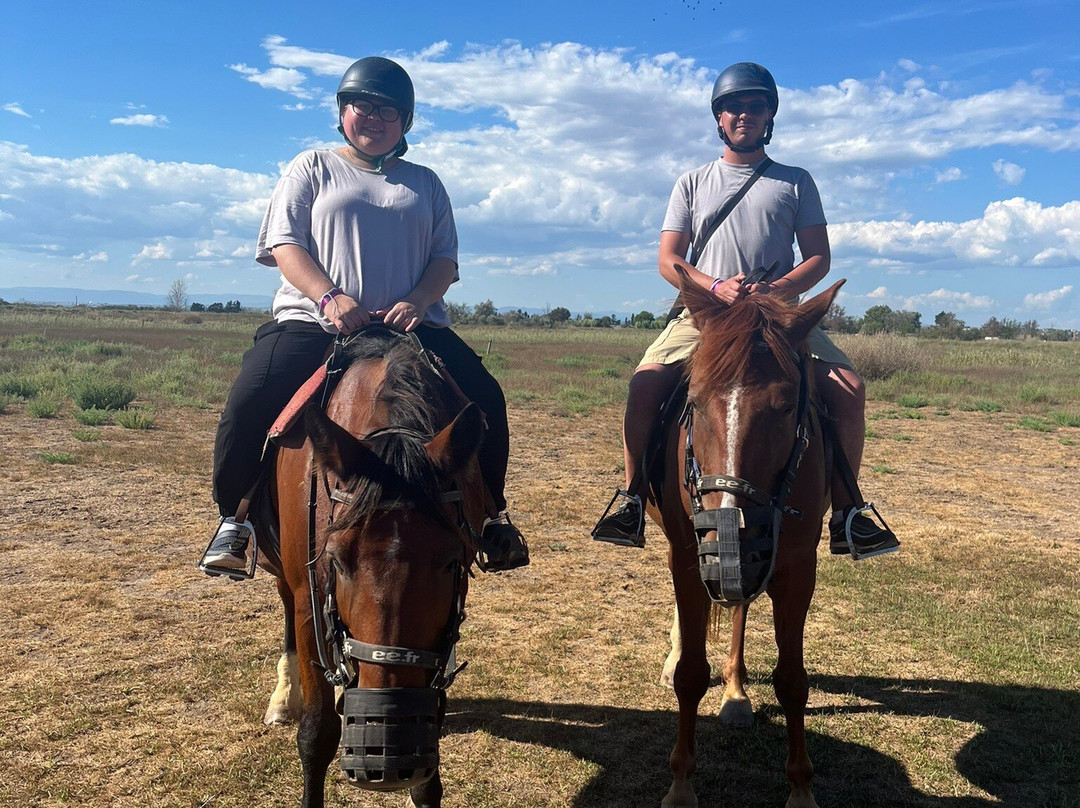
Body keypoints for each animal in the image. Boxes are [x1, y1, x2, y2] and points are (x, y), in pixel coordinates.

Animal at [257, 328, 486, 808]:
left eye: (451, 560)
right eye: (337, 560)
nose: (387, 726)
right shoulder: (309, 600)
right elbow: (317, 735)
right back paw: (285, 697)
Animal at [643, 273, 838, 808]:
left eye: (787, 407)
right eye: (691, 402)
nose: (726, 530)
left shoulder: (796, 568)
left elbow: (792, 680)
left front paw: (801, 789)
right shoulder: (690, 559)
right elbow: (690, 674)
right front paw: (680, 785)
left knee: (740, 608)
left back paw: (735, 693)